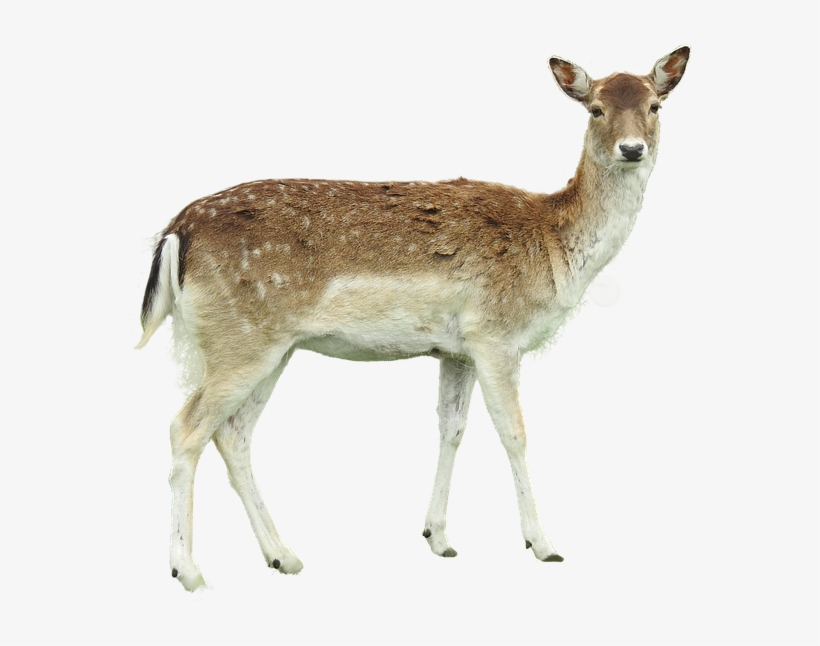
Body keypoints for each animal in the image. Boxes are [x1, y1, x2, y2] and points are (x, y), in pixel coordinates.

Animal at [137, 47, 689, 591]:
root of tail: (175, 232)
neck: (555, 247)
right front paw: (543, 544)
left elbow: (452, 428)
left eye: (655, 106)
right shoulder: (496, 335)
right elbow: (514, 432)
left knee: (233, 434)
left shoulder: (456, 349)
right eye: (595, 109)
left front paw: (438, 538)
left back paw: (284, 556)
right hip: (240, 340)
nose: (633, 149)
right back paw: (188, 569)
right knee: (186, 427)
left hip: (272, 348)